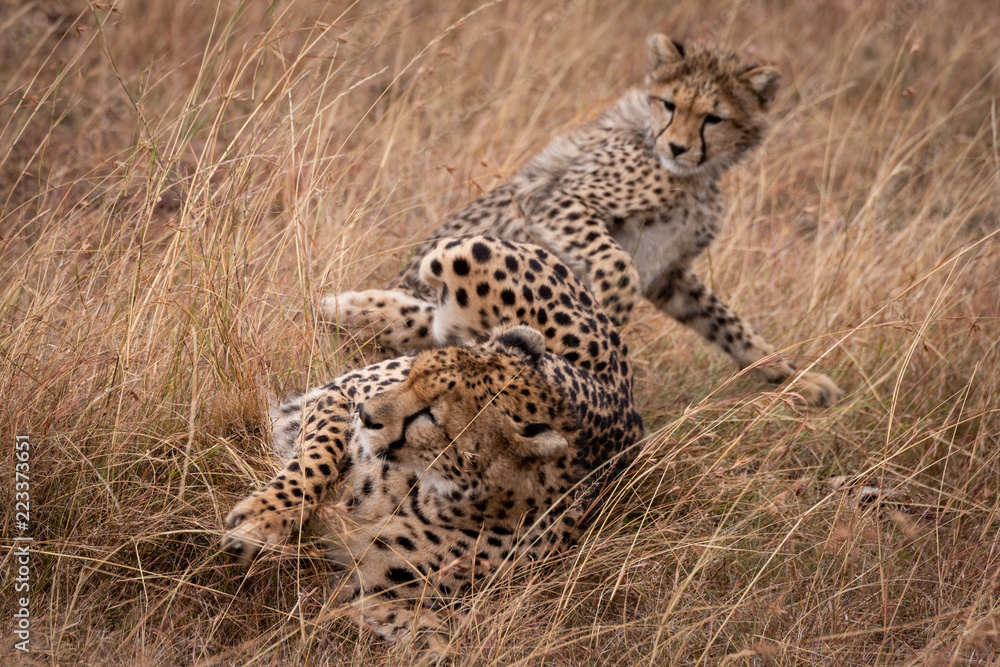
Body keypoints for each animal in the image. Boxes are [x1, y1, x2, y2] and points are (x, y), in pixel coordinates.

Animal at [221, 236, 644, 655]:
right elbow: (313, 465)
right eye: (411, 375)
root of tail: (632, 407)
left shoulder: (379, 588)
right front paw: (259, 523)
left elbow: (436, 639)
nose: (365, 415)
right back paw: (342, 307)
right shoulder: (335, 396)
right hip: (461, 254)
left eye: (429, 416)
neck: (434, 490)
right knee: (434, 307)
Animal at [326, 34, 842, 407]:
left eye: (714, 117)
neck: (694, 175)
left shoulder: (670, 275)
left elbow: (727, 322)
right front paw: (610, 316)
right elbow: (616, 265)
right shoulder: (559, 202)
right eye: (670, 104)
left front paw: (791, 375)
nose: (677, 146)